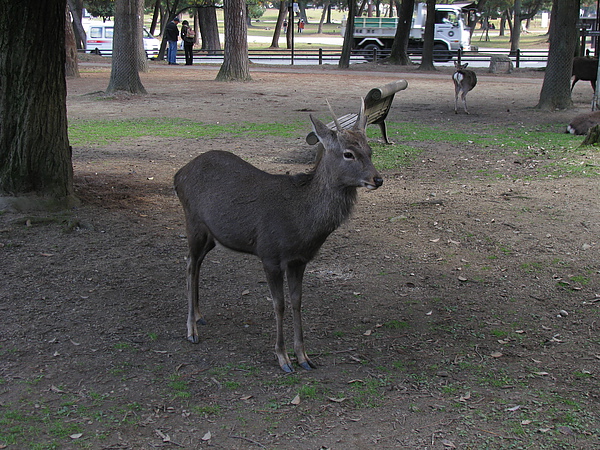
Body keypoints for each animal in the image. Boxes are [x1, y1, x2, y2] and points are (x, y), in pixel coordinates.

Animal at [172, 101, 384, 372]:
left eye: (370, 150)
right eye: (348, 154)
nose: (377, 179)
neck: (301, 224)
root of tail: (178, 174)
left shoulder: (299, 260)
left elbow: (297, 302)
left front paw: (304, 356)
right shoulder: (270, 254)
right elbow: (278, 304)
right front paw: (283, 358)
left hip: (212, 234)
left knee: (197, 263)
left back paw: (199, 315)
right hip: (193, 221)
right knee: (189, 263)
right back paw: (191, 330)